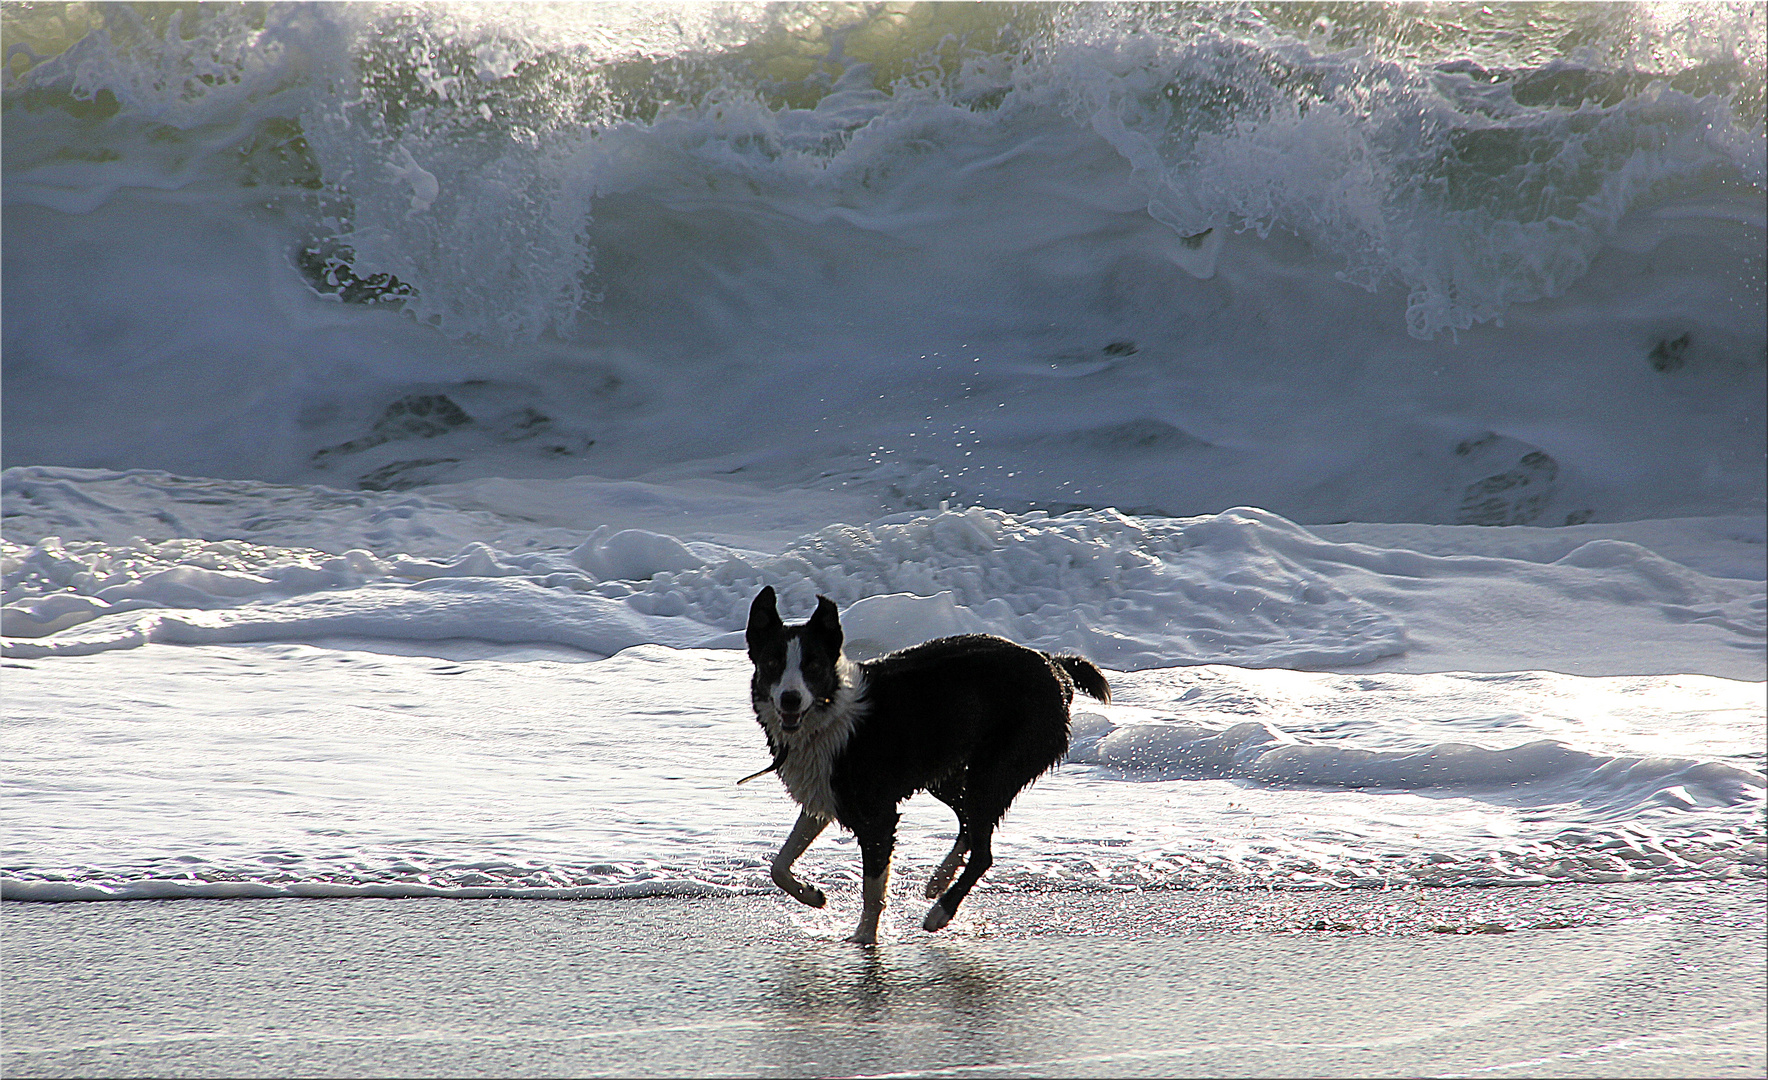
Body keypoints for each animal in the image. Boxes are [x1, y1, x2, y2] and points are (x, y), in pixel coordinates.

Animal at [742, 586, 1103, 940]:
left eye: (813, 666)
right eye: (772, 663)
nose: (790, 699)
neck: (831, 713)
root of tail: (1054, 666)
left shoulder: (877, 815)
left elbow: (873, 890)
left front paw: (865, 937)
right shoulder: (825, 795)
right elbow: (778, 866)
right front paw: (812, 894)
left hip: (996, 768)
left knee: (983, 852)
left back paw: (941, 911)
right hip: (947, 775)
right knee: (969, 827)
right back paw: (938, 882)